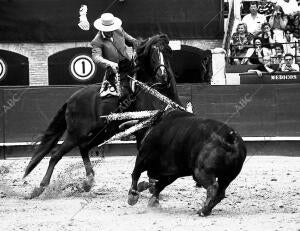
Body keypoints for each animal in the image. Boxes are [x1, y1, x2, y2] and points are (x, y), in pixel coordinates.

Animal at [23, 33, 180, 198]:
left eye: (168, 51)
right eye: (153, 52)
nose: (163, 76)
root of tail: (71, 99)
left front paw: (151, 184)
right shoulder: (142, 129)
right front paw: (147, 185)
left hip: (100, 133)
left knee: (83, 147)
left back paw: (88, 182)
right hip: (75, 134)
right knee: (56, 155)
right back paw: (41, 187)